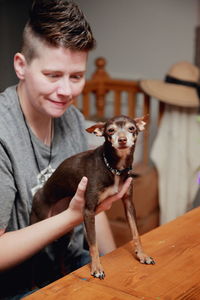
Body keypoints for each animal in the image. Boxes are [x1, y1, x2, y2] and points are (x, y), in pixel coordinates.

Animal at [30, 114, 155, 278]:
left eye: (131, 128)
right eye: (110, 130)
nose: (122, 139)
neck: (114, 168)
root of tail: (39, 193)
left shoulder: (129, 204)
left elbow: (135, 232)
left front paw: (142, 255)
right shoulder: (88, 211)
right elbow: (93, 243)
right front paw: (96, 267)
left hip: (66, 235)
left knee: (60, 259)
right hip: (38, 232)